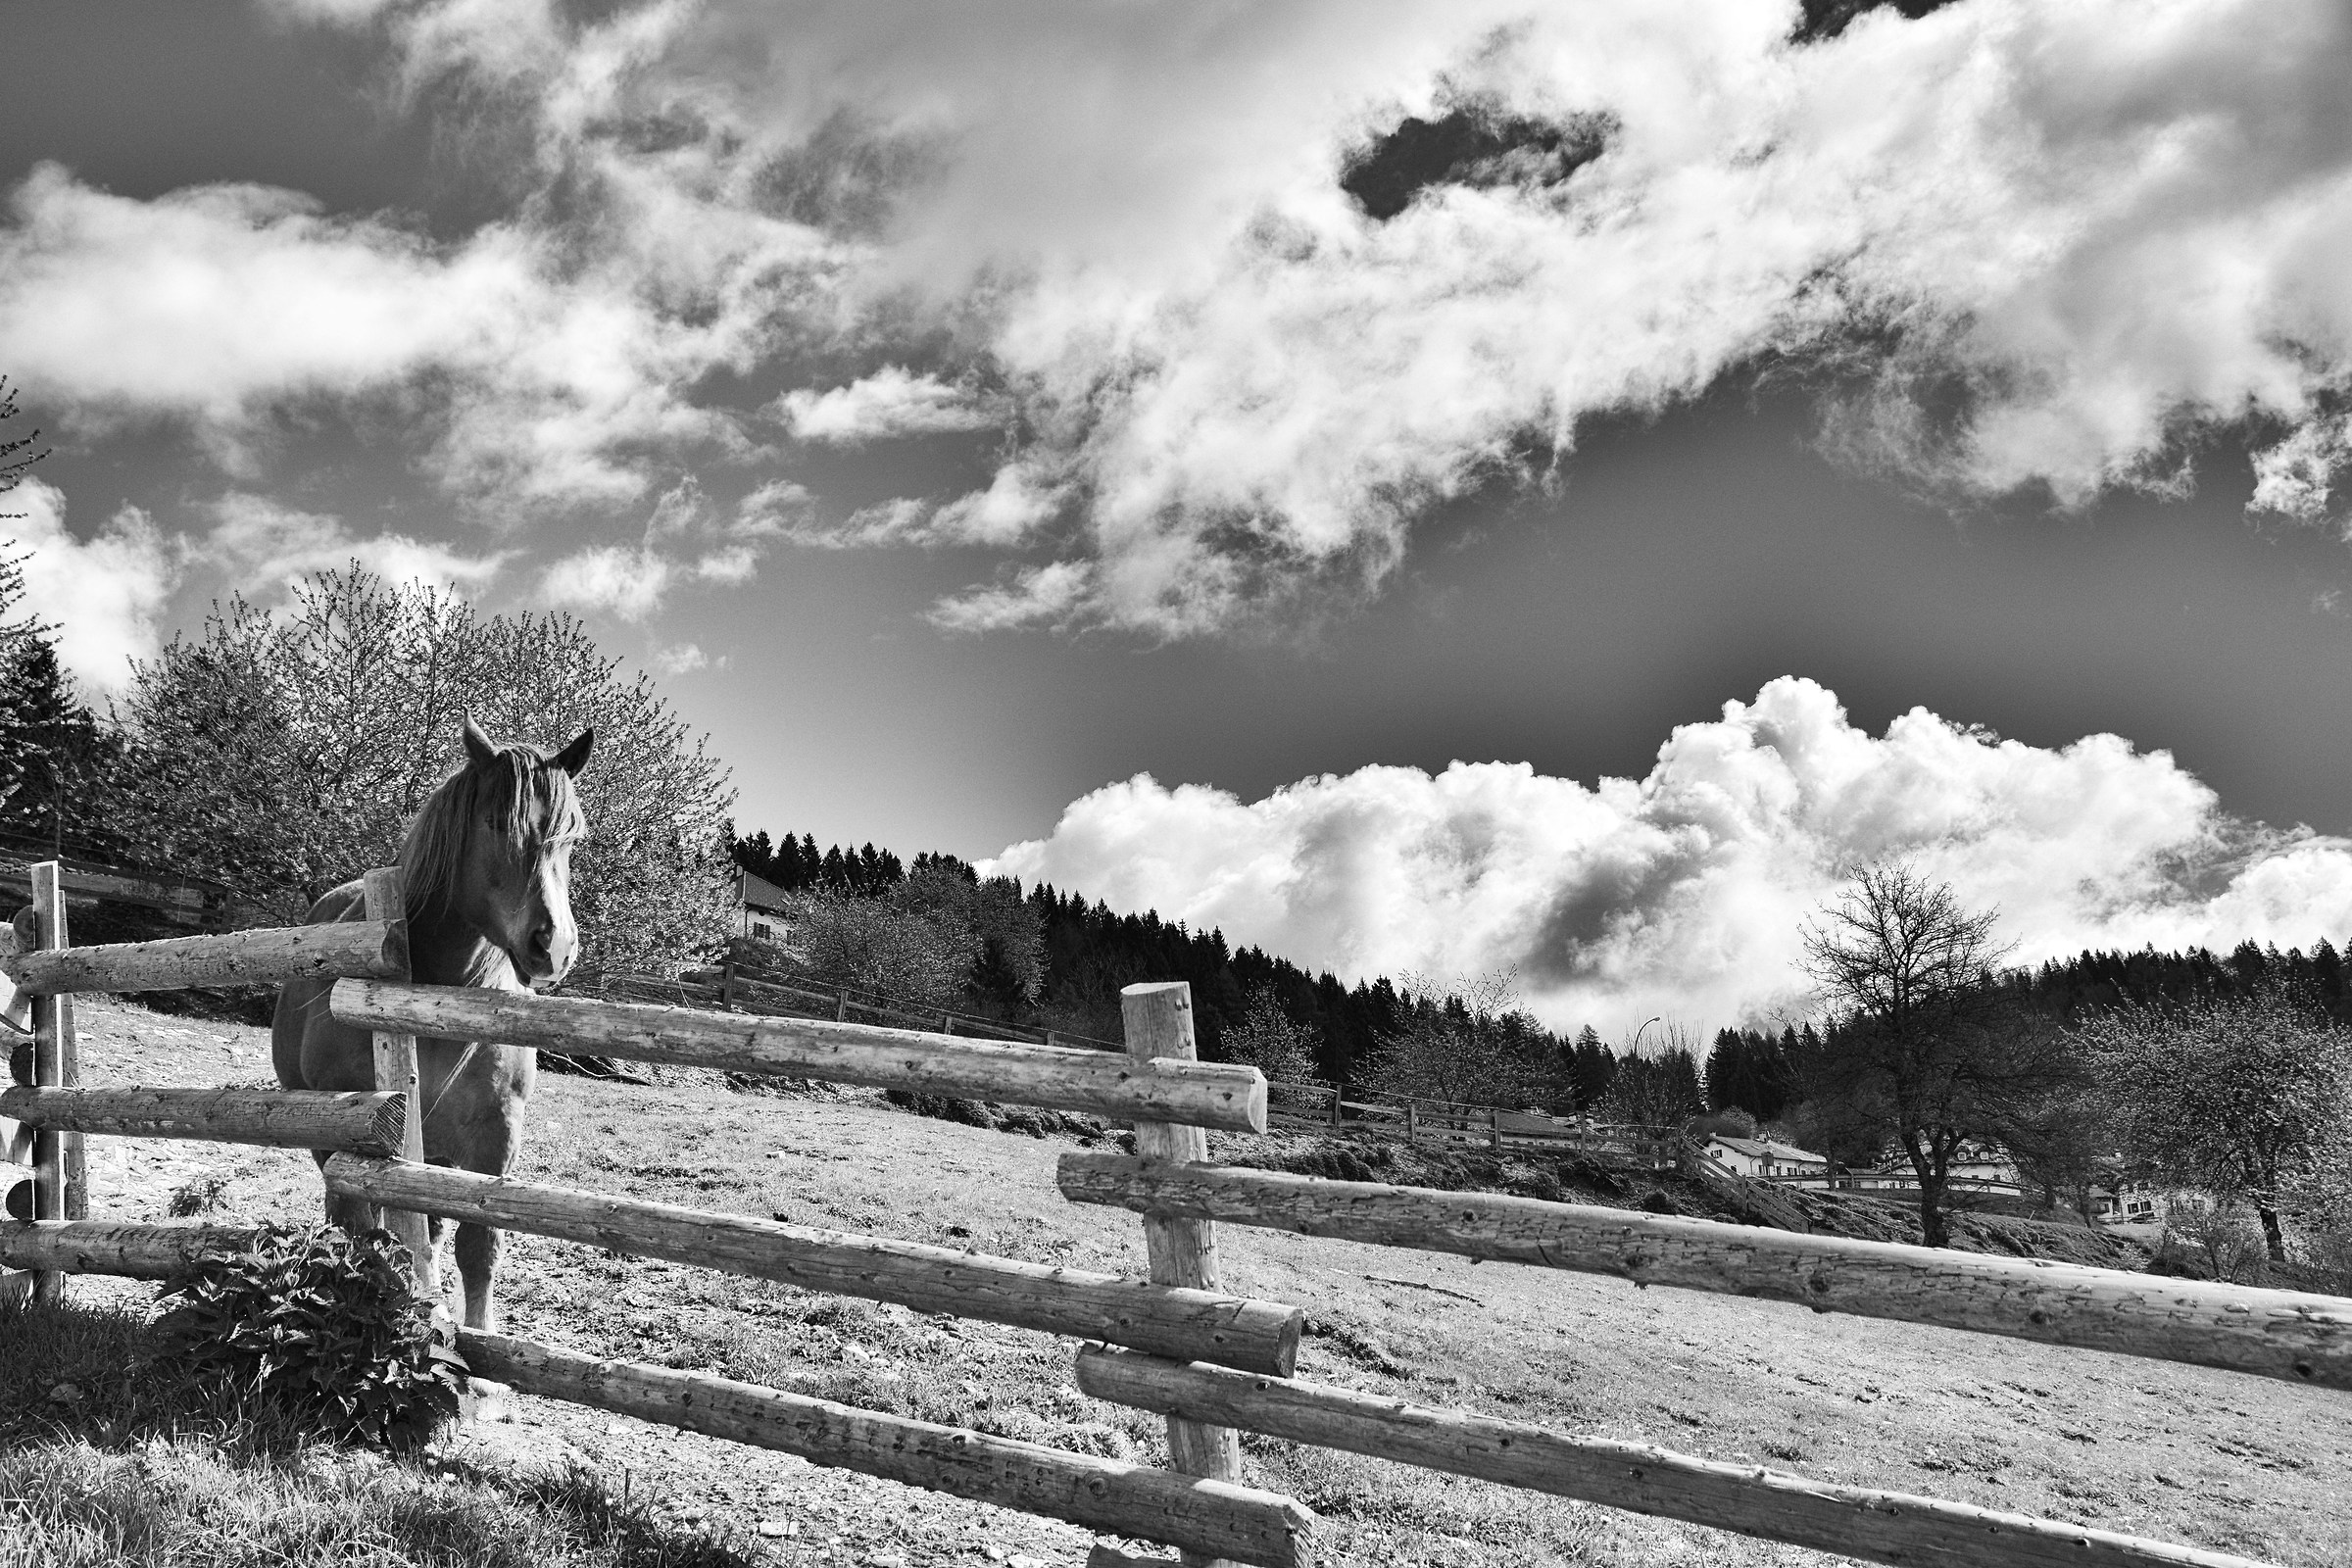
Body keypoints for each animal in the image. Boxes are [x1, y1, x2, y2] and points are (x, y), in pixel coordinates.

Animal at [274, 716, 592, 1332]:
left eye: (571, 836)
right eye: (495, 823)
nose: (554, 946)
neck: (442, 1002)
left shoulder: (495, 1137)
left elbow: (477, 1245)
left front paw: (477, 1337)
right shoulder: (357, 1136)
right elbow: (370, 1230)